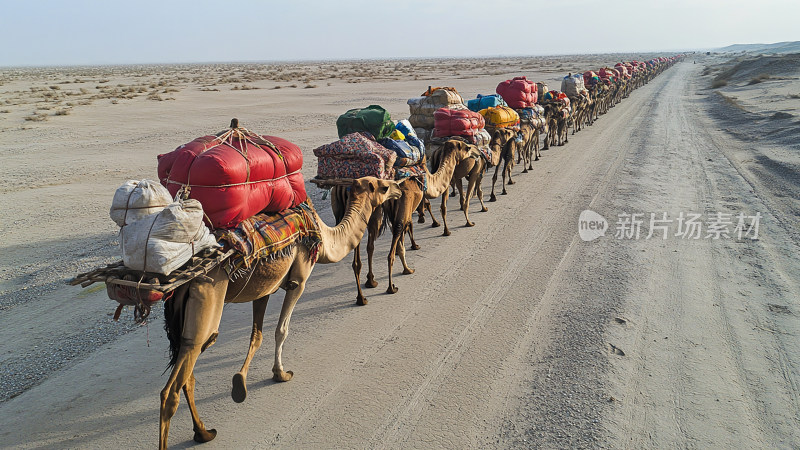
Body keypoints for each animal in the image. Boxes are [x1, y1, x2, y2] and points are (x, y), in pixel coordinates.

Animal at [157, 177, 404, 450]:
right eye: (383, 186)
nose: (398, 188)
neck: (323, 237)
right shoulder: (299, 280)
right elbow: (281, 330)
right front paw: (280, 373)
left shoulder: (264, 288)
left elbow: (257, 335)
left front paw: (240, 384)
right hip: (207, 297)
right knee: (172, 389)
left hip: (185, 314)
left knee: (187, 369)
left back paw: (203, 432)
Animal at [330, 143, 468, 306]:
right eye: (464, 148)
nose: (472, 149)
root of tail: (346, 187)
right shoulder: (405, 208)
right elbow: (406, 230)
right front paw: (408, 266)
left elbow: (403, 236)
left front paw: (413, 248)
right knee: (389, 249)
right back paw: (390, 287)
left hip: (367, 214)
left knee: (365, 248)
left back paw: (366, 290)